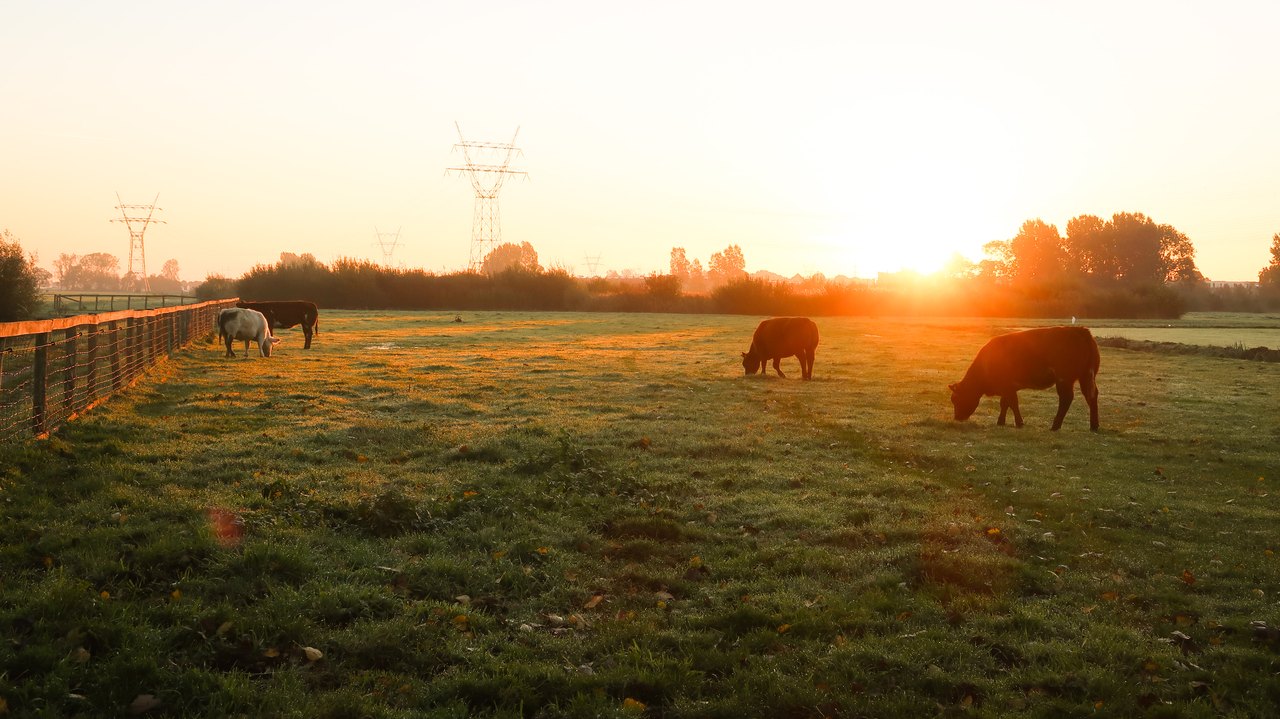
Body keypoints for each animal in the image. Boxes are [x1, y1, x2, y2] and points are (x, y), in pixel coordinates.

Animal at [949, 326, 1100, 431]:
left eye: (955, 399)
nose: (957, 418)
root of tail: (1080, 330)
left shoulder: (1007, 386)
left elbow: (1013, 403)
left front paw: (1019, 423)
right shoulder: (1007, 387)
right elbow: (1005, 403)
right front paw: (1001, 421)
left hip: (1064, 379)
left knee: (1066, 399)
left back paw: (1055, 426)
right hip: (1086, 377)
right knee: (1091, 396)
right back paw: (1094, 426)